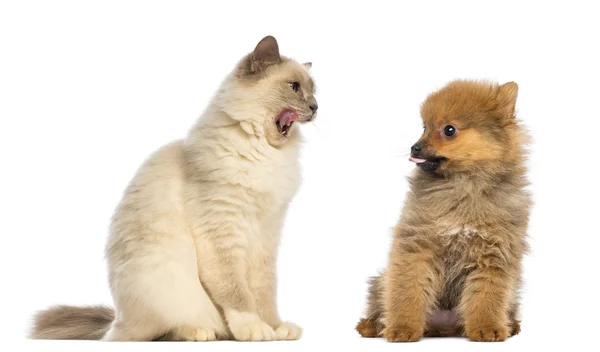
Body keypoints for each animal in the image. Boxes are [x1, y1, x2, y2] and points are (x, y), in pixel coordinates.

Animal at [31, 35, 318, 340]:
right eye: (294, 87)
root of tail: (115, 320)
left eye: (313, 91)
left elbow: (265, 292)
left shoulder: (267, 233)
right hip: (162, 278)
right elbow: (236, 292)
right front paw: (253, 329)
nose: (315, 107)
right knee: (160, 330)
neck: (265, 154)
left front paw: (275, 328)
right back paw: (201, 331)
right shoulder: (222, 230)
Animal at [356, 80, 528, 340]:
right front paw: (402, 327)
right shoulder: (417, 246)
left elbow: (487, 297)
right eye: (424, 127)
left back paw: (511, 325)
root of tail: (444, 326)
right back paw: (372, 326)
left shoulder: (493, 254)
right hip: (380, 283)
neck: (463, 184)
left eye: (449, 130)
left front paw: (487, 327)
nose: (415, 147)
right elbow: (407, 291)